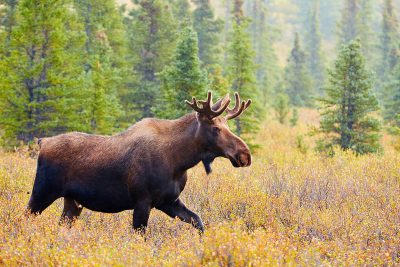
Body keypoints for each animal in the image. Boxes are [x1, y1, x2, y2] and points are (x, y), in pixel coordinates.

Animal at [28, 91, 252, 232]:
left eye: (227, 126)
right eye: (215, 128)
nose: (245, 154)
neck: (179, 161)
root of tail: (42, 142)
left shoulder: (169, 201)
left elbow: (198, 221)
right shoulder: (143, 201)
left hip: (72, 202)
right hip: (43, 191)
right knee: (25, 218)